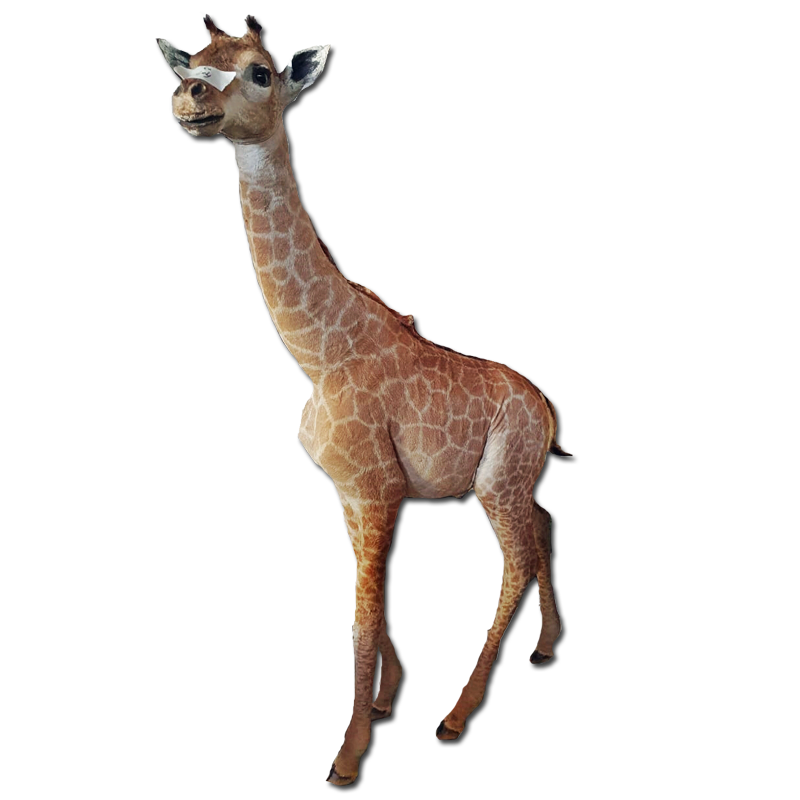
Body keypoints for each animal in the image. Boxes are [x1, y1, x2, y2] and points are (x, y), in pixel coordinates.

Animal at [157, 13, 570, 787]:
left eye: (260, 71)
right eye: (192, 62)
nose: (189, 101)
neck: (321, 353)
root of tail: (548, 406)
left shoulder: (377, 490)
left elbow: (361, 614)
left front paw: (348, 758)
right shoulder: (353, 491)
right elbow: (371, 606)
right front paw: (383, 703)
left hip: (498, 481)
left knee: (518, 561)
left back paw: (454, 717)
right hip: (512, 479)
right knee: (546, 525)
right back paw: (544, 650)